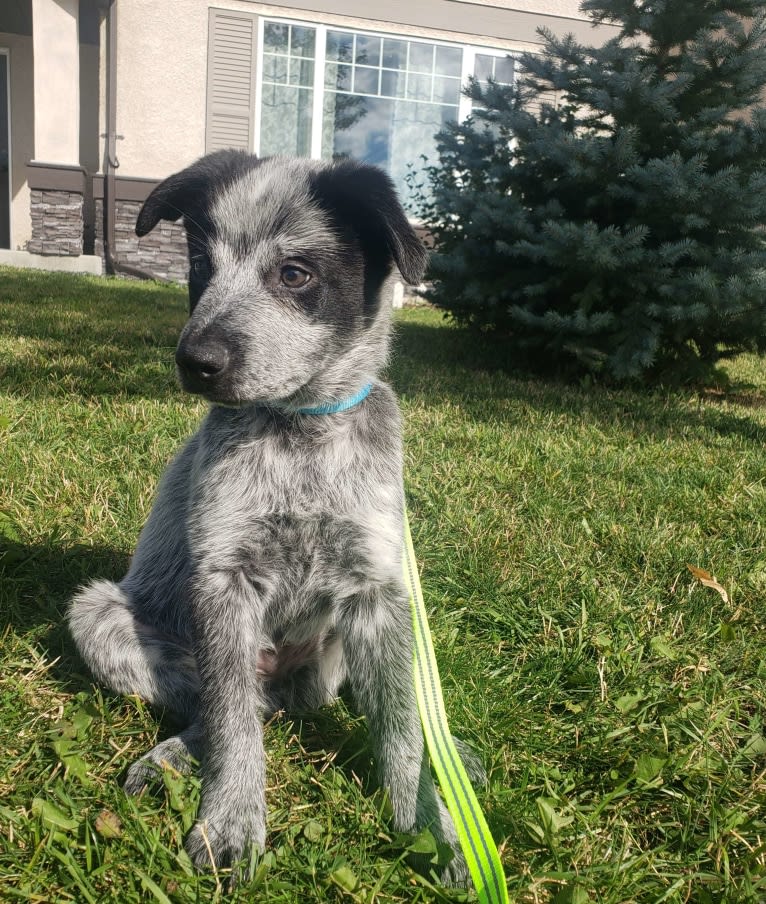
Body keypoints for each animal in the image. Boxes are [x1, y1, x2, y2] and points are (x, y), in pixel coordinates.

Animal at [67, 154, 474, 884]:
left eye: (294, 273)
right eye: (201, 263)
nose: (194, 362)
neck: (302, 435)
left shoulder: (378, 593)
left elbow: (401, 726)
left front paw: (428, 820)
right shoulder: (225, 582)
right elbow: (234, 725)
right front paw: (231, 820)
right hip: (105, 617)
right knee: (238, 707)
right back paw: (170, 758)